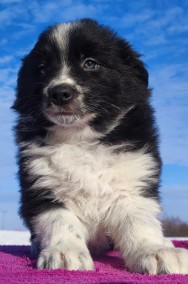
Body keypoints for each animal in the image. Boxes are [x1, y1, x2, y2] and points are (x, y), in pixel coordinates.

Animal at [12, 18, 188, 274]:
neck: (82, 139)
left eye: (90, 63)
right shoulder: (41, 182)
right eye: (42, 69)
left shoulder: (133, 179)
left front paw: (155, 251)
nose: (59, 93)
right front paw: (65, 252)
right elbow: (60, 219)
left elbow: (139, 220)